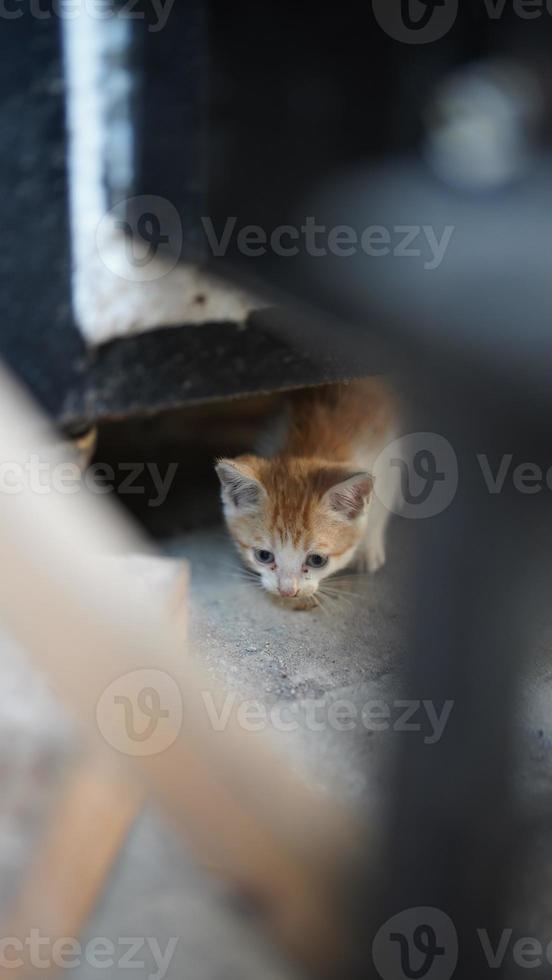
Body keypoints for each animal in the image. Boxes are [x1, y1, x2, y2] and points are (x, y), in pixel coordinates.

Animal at [213, 378, 398, 608]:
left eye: (317, 560)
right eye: (264, 556)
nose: (287, 591)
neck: (311, 443)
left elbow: (382, 506)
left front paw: (368, 549)